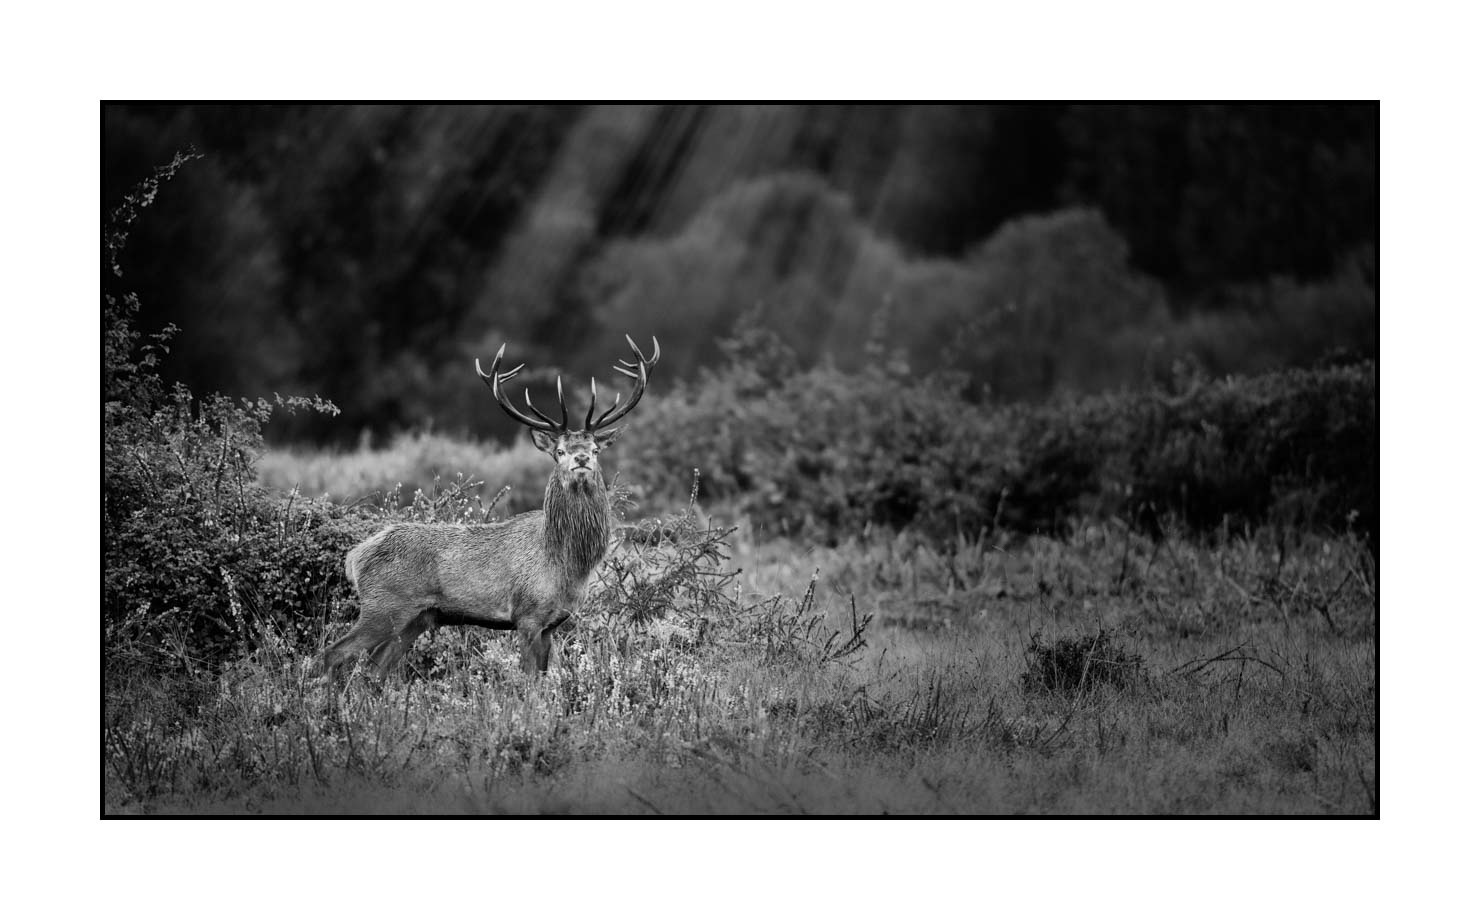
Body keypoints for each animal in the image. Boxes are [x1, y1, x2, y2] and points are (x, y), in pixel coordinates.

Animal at [314, 335, 659, 679]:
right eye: (560, 451)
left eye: (595, 448)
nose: (581, 458)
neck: (565, 562)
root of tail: (355, 557)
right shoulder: (526, 615)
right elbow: (529, 680)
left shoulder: (553, 623)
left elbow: (544, 679)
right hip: (383, 606)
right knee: (333, 653)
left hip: (416, 618)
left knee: (373, 671)